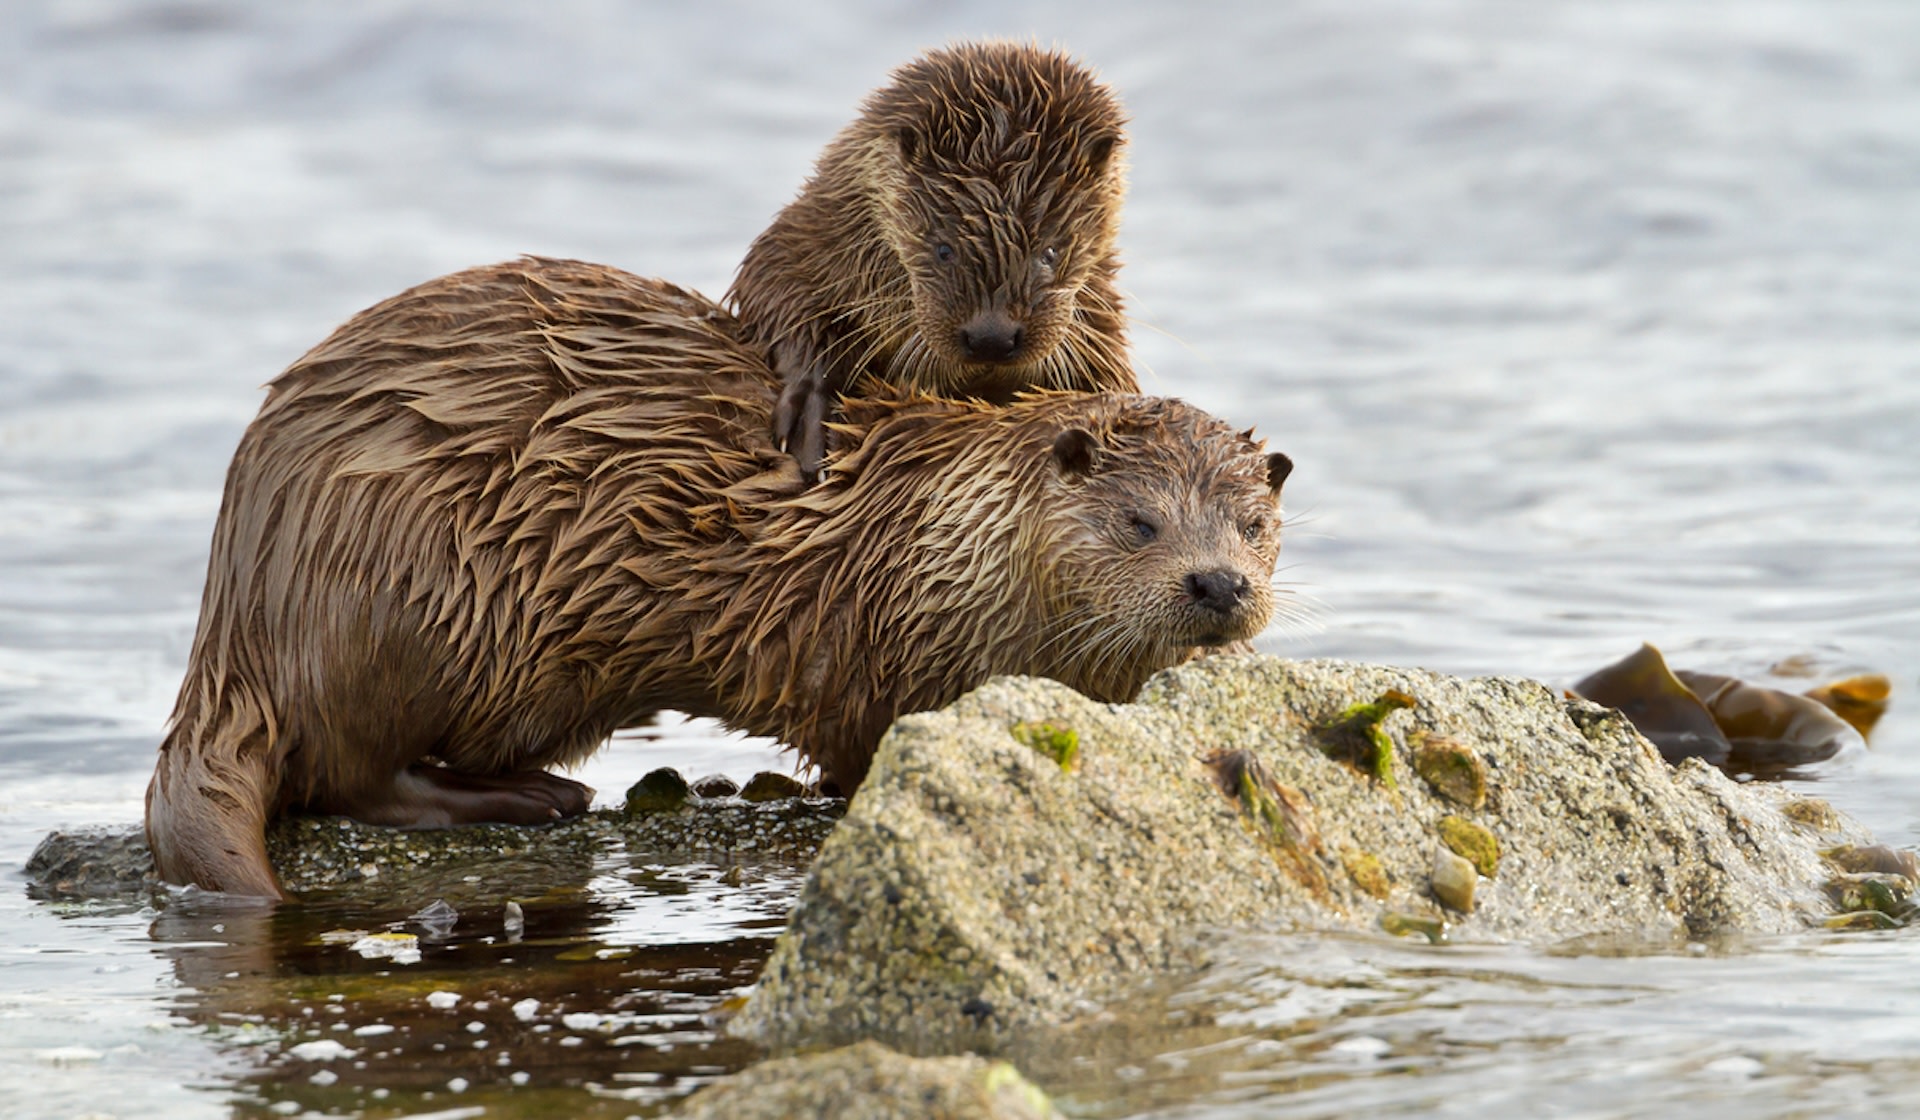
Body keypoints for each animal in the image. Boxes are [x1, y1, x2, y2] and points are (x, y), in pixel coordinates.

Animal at [149, 259, 1290, 899]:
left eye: (1253, 524)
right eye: (1139, 522)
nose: (1217, 586)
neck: (928, 540)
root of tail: (237, 611)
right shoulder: (865, 647)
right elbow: (855, 740)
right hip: (419, 602)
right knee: (349, 771)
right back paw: (532, 797)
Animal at [725, 38, 1128, 478]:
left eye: (1050, 251)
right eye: (943, 249)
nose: (991, 337)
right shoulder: (810, 237)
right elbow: (778, 289)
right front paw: (811, 406)